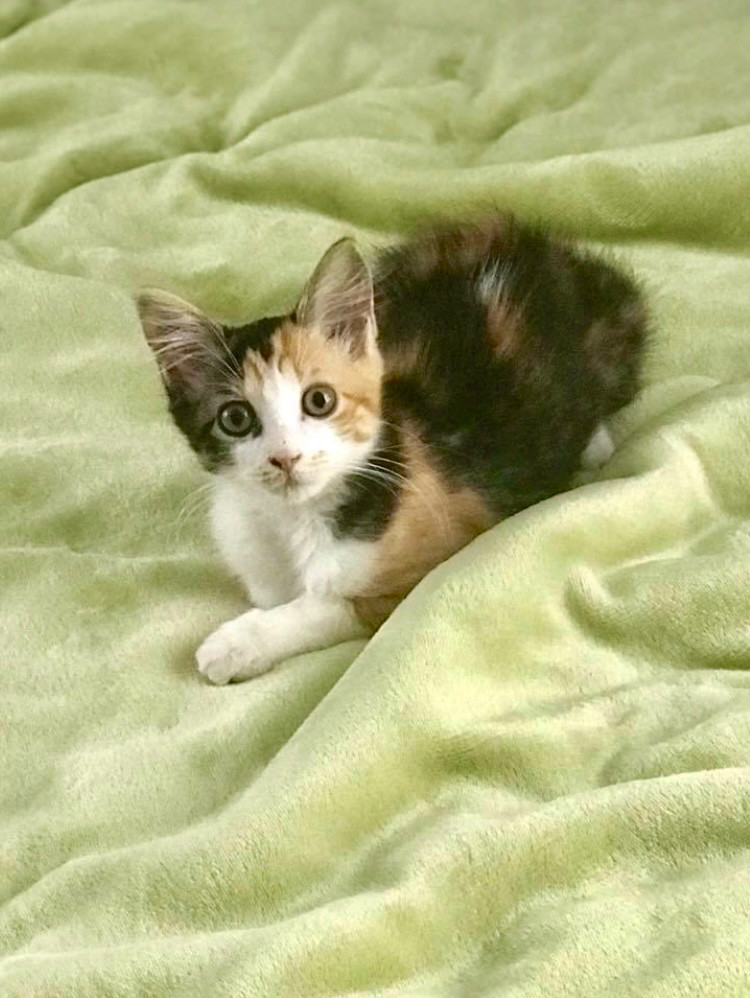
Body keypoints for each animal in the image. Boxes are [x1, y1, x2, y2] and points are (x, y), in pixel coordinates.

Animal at [138, 217, 648, 688]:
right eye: (235, 419)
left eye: (319, 401)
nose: (285, 458)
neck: (293, 522)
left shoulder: (432, 556)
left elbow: (328, 606)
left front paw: (236, 643)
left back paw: (595, 444)